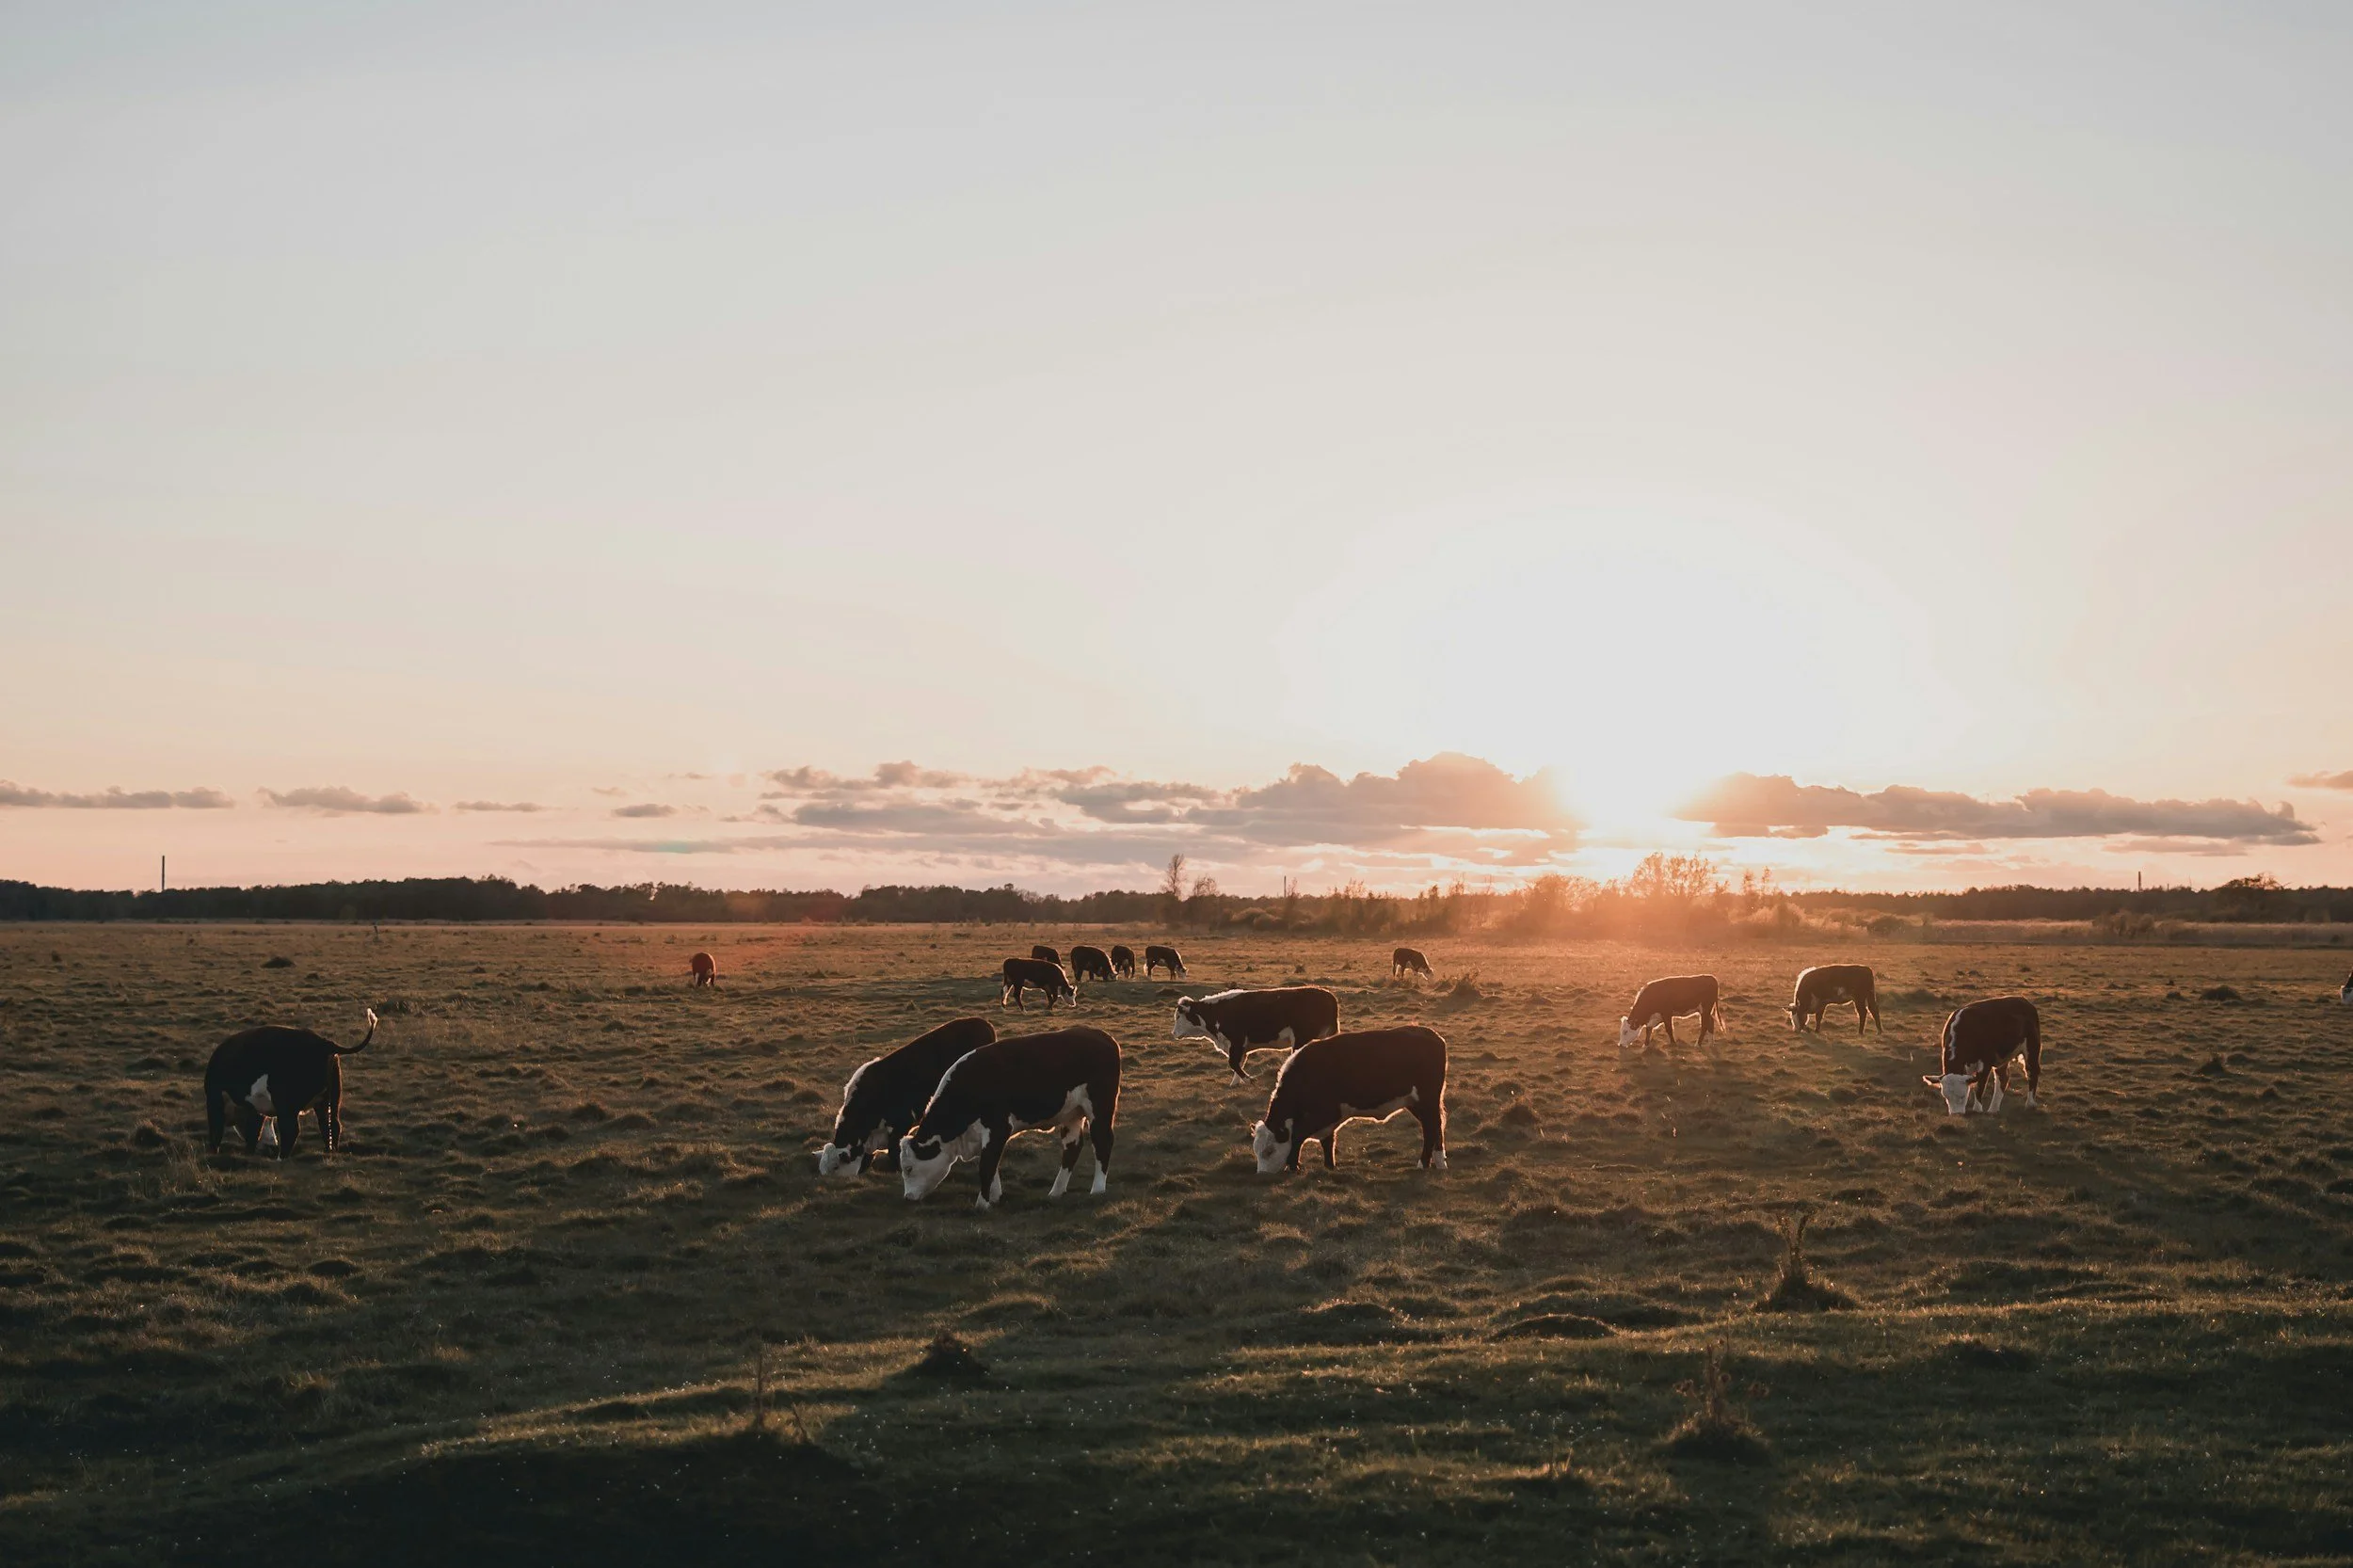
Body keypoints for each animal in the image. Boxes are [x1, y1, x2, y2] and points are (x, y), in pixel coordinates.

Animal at [204, 1009, 375, 1158]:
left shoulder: (217, 1099)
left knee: (291, 1130)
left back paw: (282, 1157)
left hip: (285, 1102)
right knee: (331, 1125)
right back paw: (329, 1153)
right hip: (331, 1097)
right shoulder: (254, 1108)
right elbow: (254, 1132)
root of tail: (324, 1043)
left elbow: (219, 1131)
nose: (271, 1147)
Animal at [899, 1027, 1121, 1209]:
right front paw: (995, 1197)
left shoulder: (998, 1126)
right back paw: (1056, 1192)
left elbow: (987, 1166)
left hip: (1100, 1107)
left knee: (1102, 1141)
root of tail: (1102, 1036)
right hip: (1071, 1113)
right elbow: (991, 1165)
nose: (907, 1197)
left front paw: (982, 1204)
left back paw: (1097, 1189)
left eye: (908, 1168)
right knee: (1072, 1148)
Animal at [1172, 986, 1340, 1083]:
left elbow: (1233, 1063)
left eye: (1178, 1016)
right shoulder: (1240, 1046)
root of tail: (1328, 995)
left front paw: (1249, 1079)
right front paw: (1235, 1083)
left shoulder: (1237, 1041)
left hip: (1301, 1038)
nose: (1173, 1033)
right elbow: (1239, 1062)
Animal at [1251, 1026, 1447, 1174]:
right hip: (1416, 1103)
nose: (1262, 1175)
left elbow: (1299, 1136)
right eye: (1256, 1150)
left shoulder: (1327, 1113)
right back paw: (1439, 1162)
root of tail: (1432, 1034)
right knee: (1436, 1126)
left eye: (1269, 1151)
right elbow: (1327, 1141)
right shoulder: (1327, 1118)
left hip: (1427, 1099)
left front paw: (1293, 1166)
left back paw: (1423, 1164)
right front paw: (1329, 1166)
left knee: (1431, 1128)